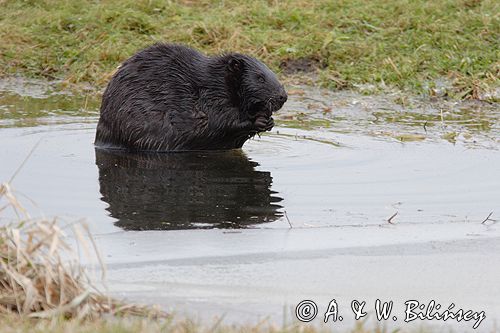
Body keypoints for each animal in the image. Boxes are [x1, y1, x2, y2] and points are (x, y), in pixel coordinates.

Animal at [95, 42, 288, 150]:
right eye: (260, 77)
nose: (283, 97)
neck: (216, 81)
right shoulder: (211, 97)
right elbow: (218, 121)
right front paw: (259, 121)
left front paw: (269, 120)